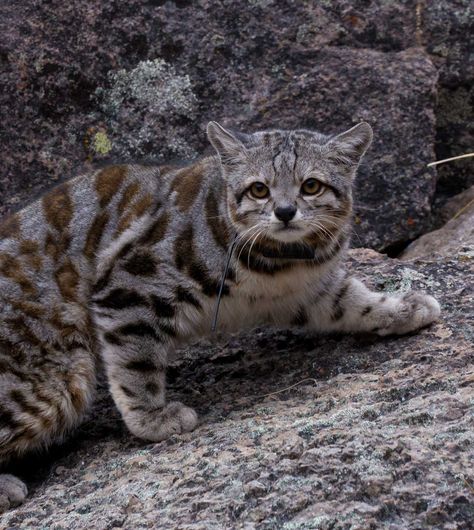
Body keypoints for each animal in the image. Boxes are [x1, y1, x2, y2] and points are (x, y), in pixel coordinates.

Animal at [0, 119, 440, 508]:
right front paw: (153, 419)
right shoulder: (127, 285)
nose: (284, 212)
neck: (281, 262)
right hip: (59, 377)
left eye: (311, 185)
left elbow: (353, 300)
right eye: (259, 189)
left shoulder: (309, 292)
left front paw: (402, 307)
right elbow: (134, 365)